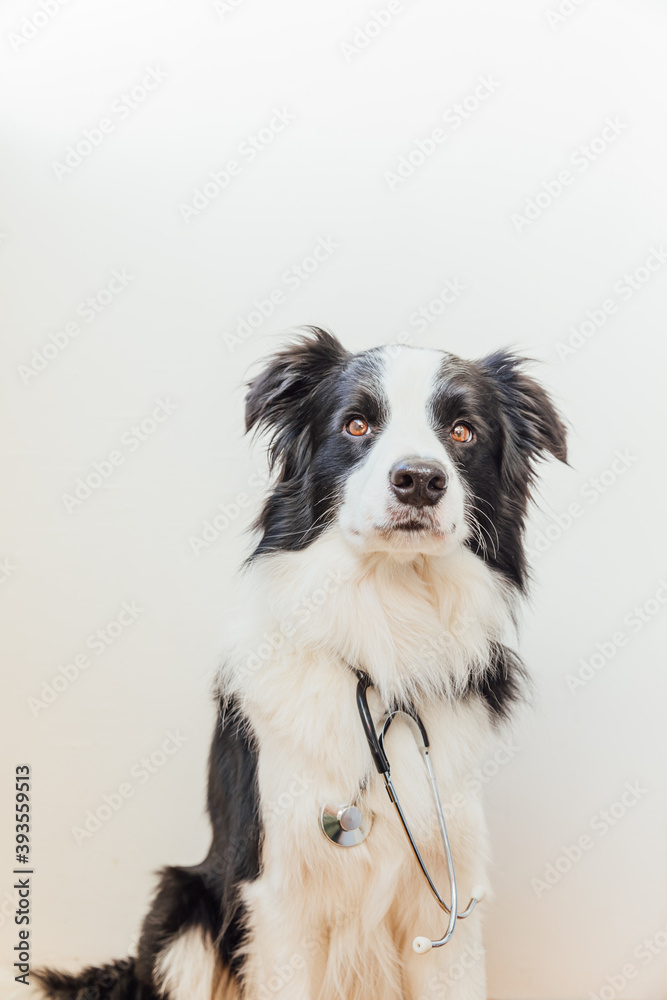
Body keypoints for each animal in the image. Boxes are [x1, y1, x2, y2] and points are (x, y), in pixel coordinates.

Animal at [36, 326, 568, 1000]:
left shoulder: (450, 897)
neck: (387, 624)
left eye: (463, 431)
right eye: (357, 424)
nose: (420, 479)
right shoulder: (278, 895)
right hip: (184, 908)